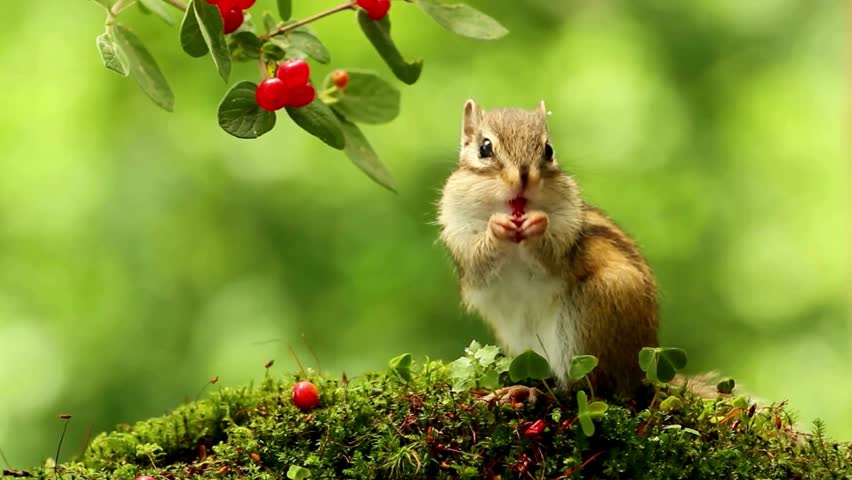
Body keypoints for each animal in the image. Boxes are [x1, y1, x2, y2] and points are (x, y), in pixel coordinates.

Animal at [437, 99, 659, 399]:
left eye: (548, 150)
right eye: (485, 148)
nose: (523, 179)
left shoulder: (566, 235)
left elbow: (552, 258)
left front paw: (538, 225)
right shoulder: (460, 236)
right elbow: (478, 261)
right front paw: (496, 228)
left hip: (596, 307)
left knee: (582, 389)